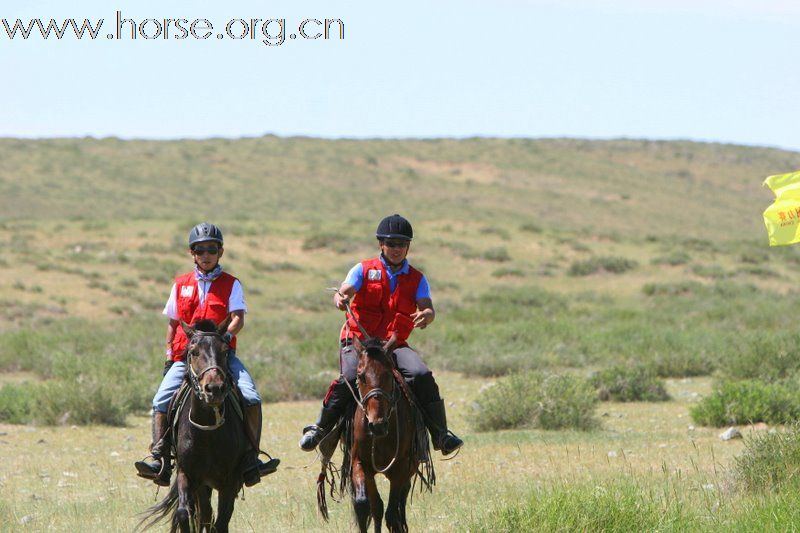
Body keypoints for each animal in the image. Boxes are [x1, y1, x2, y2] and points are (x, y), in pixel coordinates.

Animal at [138, 318, 250, 528]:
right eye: (193, 352)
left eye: (225, 351)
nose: (214, 389)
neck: (208, 432)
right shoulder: (189, 475)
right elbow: (186, 513)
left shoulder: (230, 482)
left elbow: (220, 522)